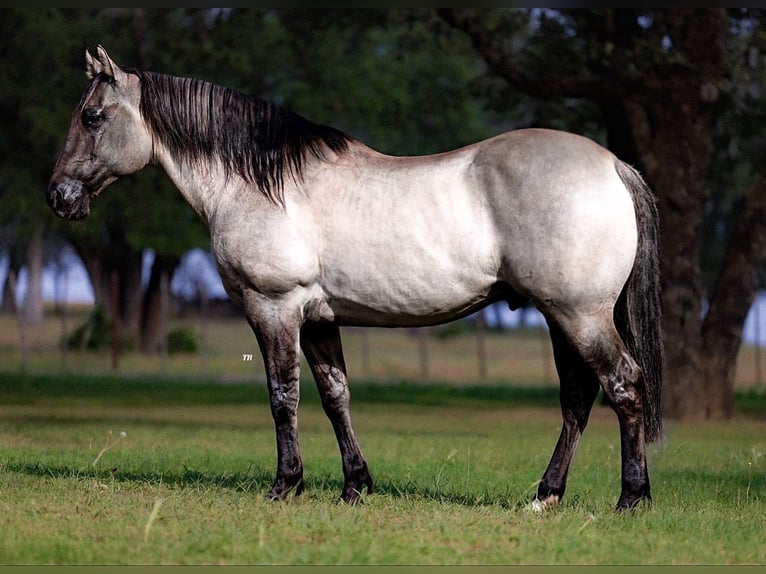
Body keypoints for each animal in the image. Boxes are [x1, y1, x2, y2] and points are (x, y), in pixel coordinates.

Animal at [48, 47, 664, 510]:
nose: (58, 196)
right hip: (562, 318)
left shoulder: (273, 308)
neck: (261, 183)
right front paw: (355, 486)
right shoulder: (319, 318)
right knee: (579, 397)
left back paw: (631, 498)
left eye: (92, 116)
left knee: (624, 385)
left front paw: (285, 485)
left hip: (579, 314)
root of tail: (612, 165)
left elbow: (283, 395)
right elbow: (334, 395)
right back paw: (546, 495)